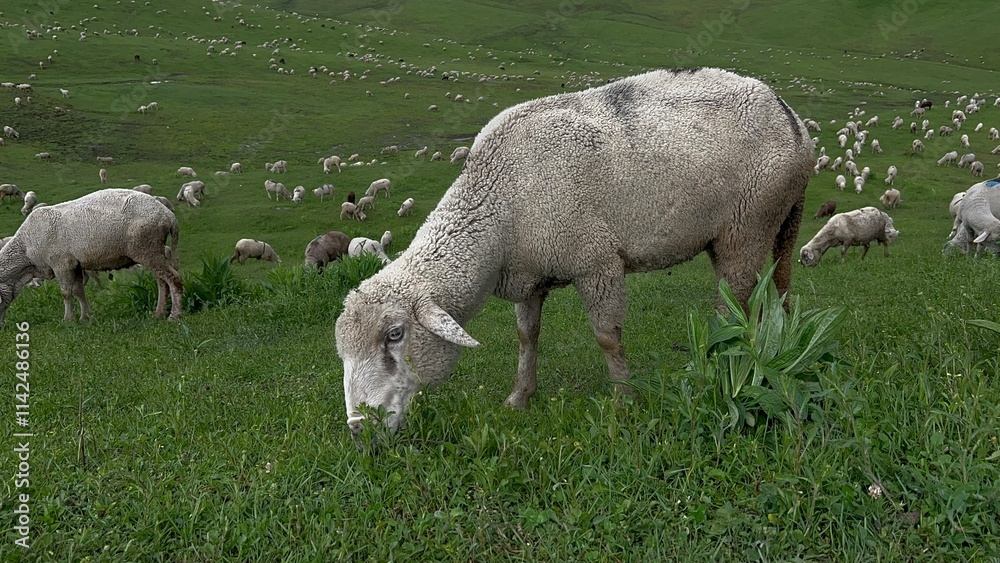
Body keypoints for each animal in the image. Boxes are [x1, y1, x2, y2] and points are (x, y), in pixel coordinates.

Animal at [0, 189, 183, 323]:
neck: (25, 250)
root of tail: (169, 216)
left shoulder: (61, 263)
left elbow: (66, 292)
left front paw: (68, 320)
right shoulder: (75, 264)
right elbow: (78, 291)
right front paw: (85, 316)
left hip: (147, 247)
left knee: (173, 278)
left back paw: (175, 316)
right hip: (152, 250)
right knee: (162, 281)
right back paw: (158, 313)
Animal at [334, 68, 815, 434]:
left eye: (395, 335)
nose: (359, 429)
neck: (501, 206)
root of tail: (788, 114)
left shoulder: (596, 263)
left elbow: (607, 337)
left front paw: (623, 400)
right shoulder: (528, 277)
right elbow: (527, 337)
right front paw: (519, 397)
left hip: (748, 225)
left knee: (736, 305)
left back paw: (717, 372)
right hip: (770, 224)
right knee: (771, 291)